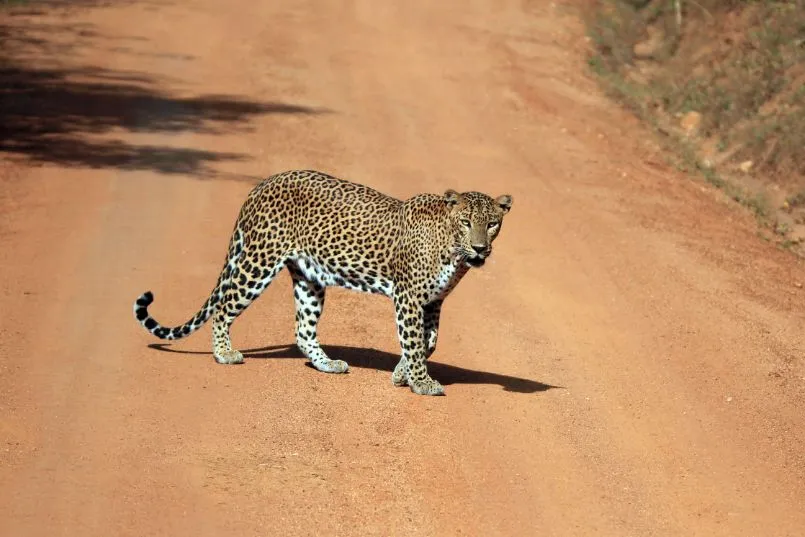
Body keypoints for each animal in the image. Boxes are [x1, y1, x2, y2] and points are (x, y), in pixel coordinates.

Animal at [131, 170, 508, 396]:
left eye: (492, 224)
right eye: (465, 222)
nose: (480, 248)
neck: (453, 253)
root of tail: (264, 183)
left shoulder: (432, 302)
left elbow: (428, 342)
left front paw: (402, 375)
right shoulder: (408, 298)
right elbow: (415, 342)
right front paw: (420, 382)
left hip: (309, 278)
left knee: (303, 330)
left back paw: (327, 364)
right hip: (259, 262)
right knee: (224, 306)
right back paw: (224, 353)